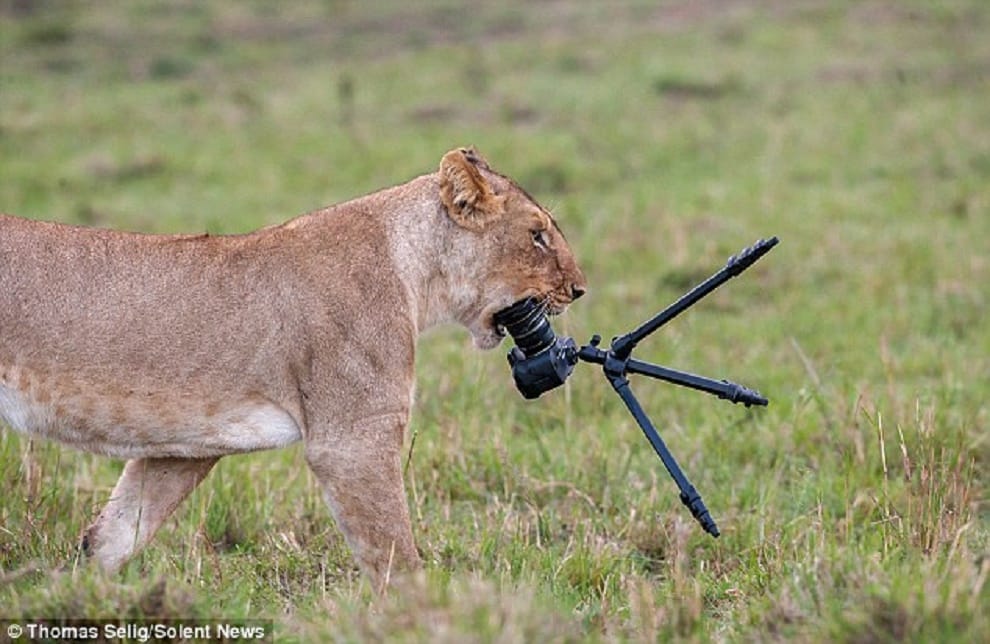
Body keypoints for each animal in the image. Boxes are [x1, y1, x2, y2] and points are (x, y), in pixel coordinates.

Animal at [0, 147, 586, 591]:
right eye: (537, 235)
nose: (580, 289)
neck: (415, 273)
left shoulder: (184, 447)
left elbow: (115, 534)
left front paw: (68, 597)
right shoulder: (353, 439)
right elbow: (394, 553)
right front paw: (425, 618)